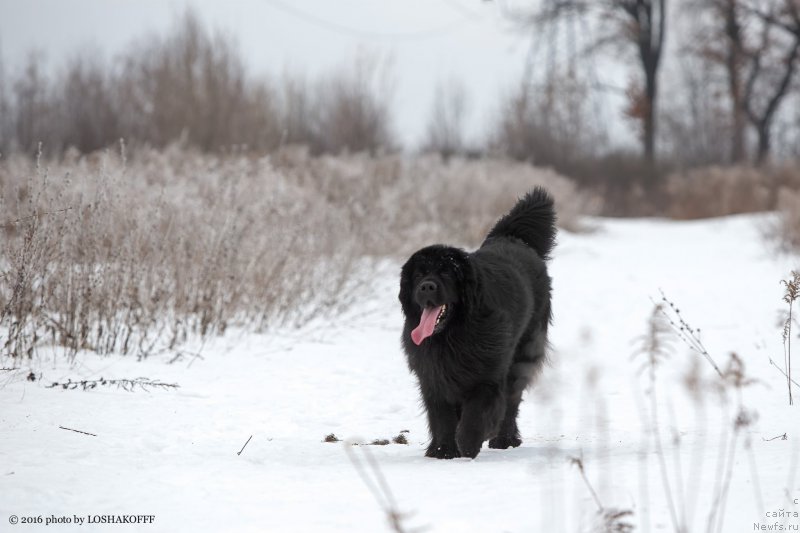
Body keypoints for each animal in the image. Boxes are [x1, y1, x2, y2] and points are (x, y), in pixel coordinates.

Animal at [398, 188, 556, 458]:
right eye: (419, 274)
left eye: (446, 272)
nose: (427, 286)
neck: (453, 335)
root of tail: (511, 237)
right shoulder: (434, 377)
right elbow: (442, 417)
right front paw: (443, 450)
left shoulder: (487, 375)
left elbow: (477, 412)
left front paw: (468, 443)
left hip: (521, 357)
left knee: (511, 402)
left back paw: (504, 439)